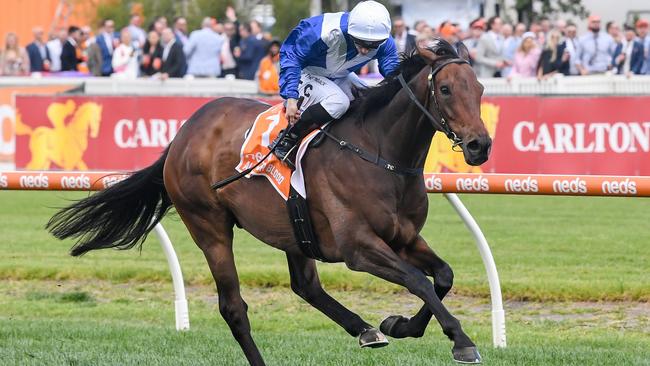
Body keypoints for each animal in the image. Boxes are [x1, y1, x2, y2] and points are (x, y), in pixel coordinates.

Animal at [46, 38, 492, 364]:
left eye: (481, 89)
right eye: (446, 89)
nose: (479, 145)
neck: (379, 153)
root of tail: (183, 134)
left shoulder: (404, 238)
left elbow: (443, 276)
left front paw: (400, 325)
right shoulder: (358, 248)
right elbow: (419, 280)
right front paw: (460, 339)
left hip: (293, 230)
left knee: (306, 286)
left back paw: (365, 329)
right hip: (209, 227)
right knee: (233, 308)